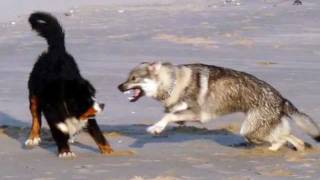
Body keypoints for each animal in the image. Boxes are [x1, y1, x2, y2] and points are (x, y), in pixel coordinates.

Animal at [25, 11, 113, 158]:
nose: (102, 105)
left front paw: (110, 152)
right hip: (34, 96)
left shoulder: (89, 118)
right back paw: (33, 138)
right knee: (36, 118)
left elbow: (99, 136)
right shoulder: (54, 116)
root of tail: (56, 51)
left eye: (94, 96)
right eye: (88, 100)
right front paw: (65, 152)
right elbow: (59, 133)